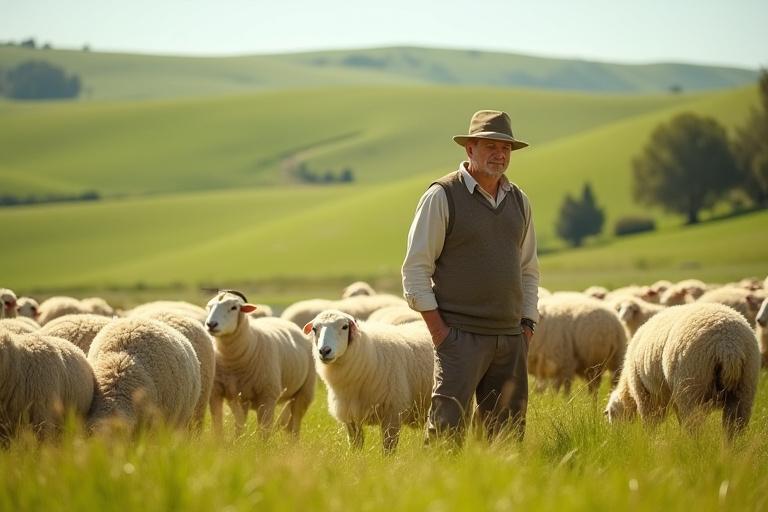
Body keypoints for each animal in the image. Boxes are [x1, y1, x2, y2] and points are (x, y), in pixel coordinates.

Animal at [205, 291, 315, 438]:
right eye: (209, 307)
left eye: (234, 308)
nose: (211, 324)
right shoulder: (218, 393)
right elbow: (222, 425)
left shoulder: (268, 396)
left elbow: (264, 432)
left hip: (305, 391)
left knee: (295, 424)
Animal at [303, 309, 434, 452]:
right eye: (314, 329)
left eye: (345, 326)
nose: (324, 351)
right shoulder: (350, 416)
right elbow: (355, 445)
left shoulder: (393, 413)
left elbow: (388, 448)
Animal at [605, 302, 760, 439]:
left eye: (612, 413)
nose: (616, 437)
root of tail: (727, 345)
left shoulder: (645, 394)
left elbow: (651, 423)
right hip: (745, 386)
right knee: (735, 427)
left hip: (691, 382)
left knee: (694, 426)